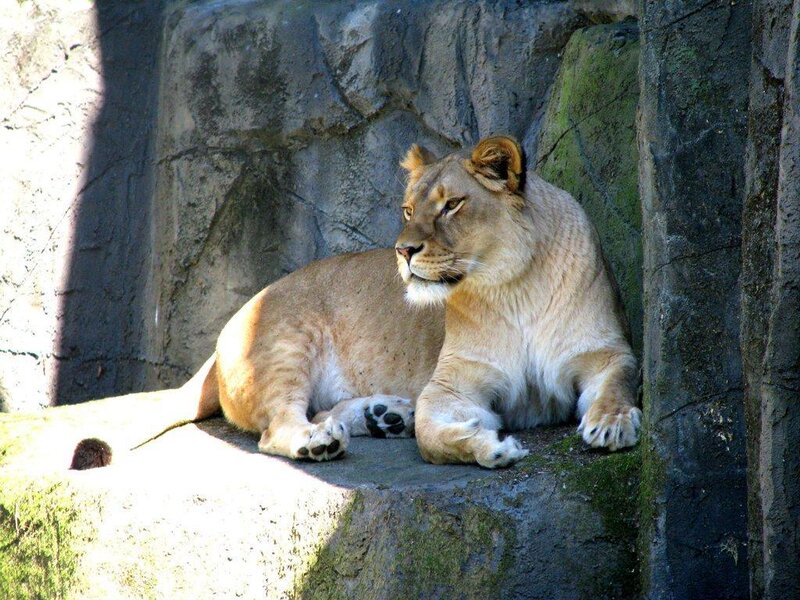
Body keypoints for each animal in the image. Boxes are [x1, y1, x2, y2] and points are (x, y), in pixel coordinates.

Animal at [72, 135, 641, 470]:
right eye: (408, 209)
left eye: (452, 206)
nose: (403, 250)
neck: (512, 285)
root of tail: (220, 339)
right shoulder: (455, 382)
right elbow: (434, 436)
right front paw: (489, 446)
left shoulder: (607, 352)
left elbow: (617, 383)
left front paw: (612, 425)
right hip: (287, 342)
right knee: (278, 426)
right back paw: (321, 440)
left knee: (325, 410)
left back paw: (384, 415)